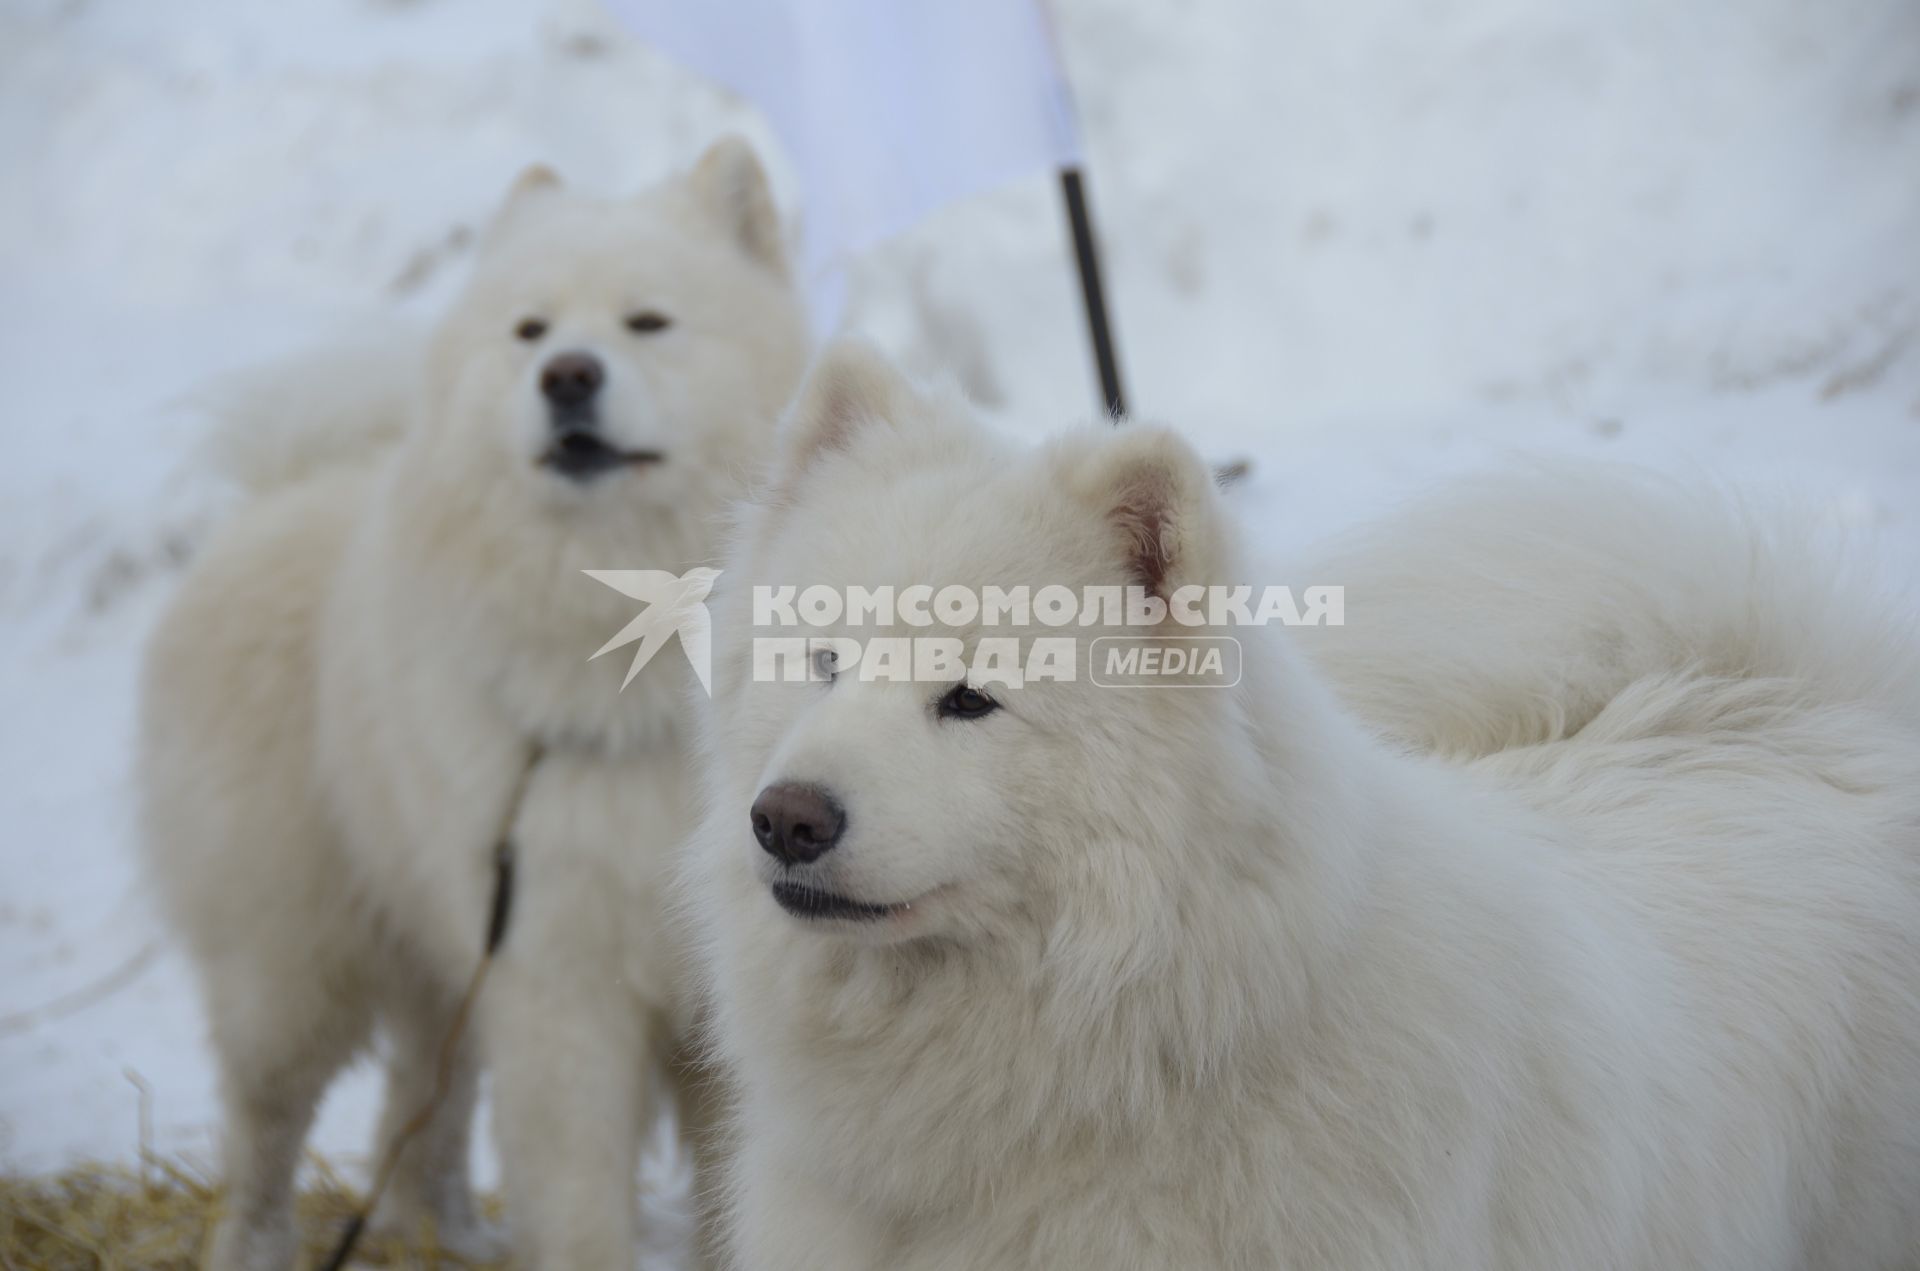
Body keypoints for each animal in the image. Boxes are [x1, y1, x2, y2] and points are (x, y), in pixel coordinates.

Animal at [142, 139, 810, 1271]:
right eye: (531, 330)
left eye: (648, 322)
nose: (568, 374)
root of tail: (282, 490)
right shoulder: (559, 975)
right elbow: (578, 1195)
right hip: (295, 959)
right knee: (265, 1122)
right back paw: (257, 1244)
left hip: (438, 949)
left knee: (422, 1103)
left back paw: (441, 1229)